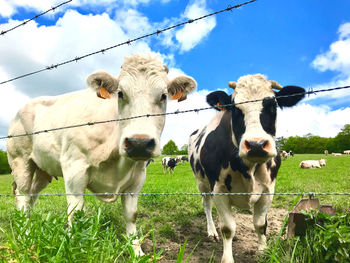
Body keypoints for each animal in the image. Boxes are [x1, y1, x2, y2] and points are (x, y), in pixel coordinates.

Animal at [6, 54, 197, 258]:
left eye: (163, 95)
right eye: (120, 94)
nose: (139, 143)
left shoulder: (137, 178)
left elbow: (131, 215)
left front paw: (136, 250)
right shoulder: (74, 170)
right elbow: (76, 213)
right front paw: (75, 249)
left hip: (42, 169)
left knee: (32, 196)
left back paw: (29, 225)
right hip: (21, 161)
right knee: (22, 195)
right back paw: (25, 233)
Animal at [187, 74, 304, 263]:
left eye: (273, 105)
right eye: (235, 109)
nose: (256, 144)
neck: (248, 168)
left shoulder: (268, 191)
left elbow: (261, 224)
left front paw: (263, 252)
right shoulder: (219, 189)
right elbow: (227, 228)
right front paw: (227, 258)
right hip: (202, 182)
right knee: (207, 205)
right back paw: (212, 231)